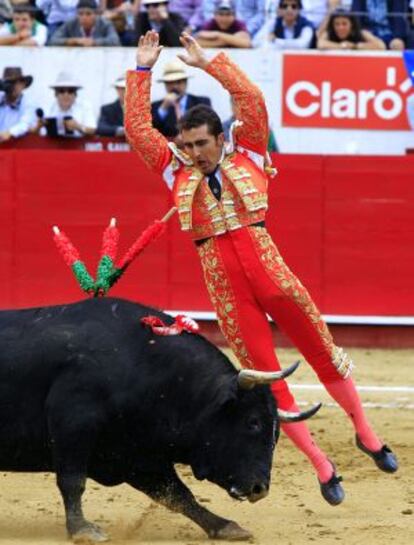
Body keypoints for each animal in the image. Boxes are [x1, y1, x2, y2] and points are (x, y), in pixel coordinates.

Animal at [0, 298, 320, 540]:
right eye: (252, 422)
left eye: (276, 433)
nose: (259, 489)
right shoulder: (73, 427)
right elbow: (72, 480)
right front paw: (83, 530)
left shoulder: (138, 453)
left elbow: (177, 495)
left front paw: (225, 527)